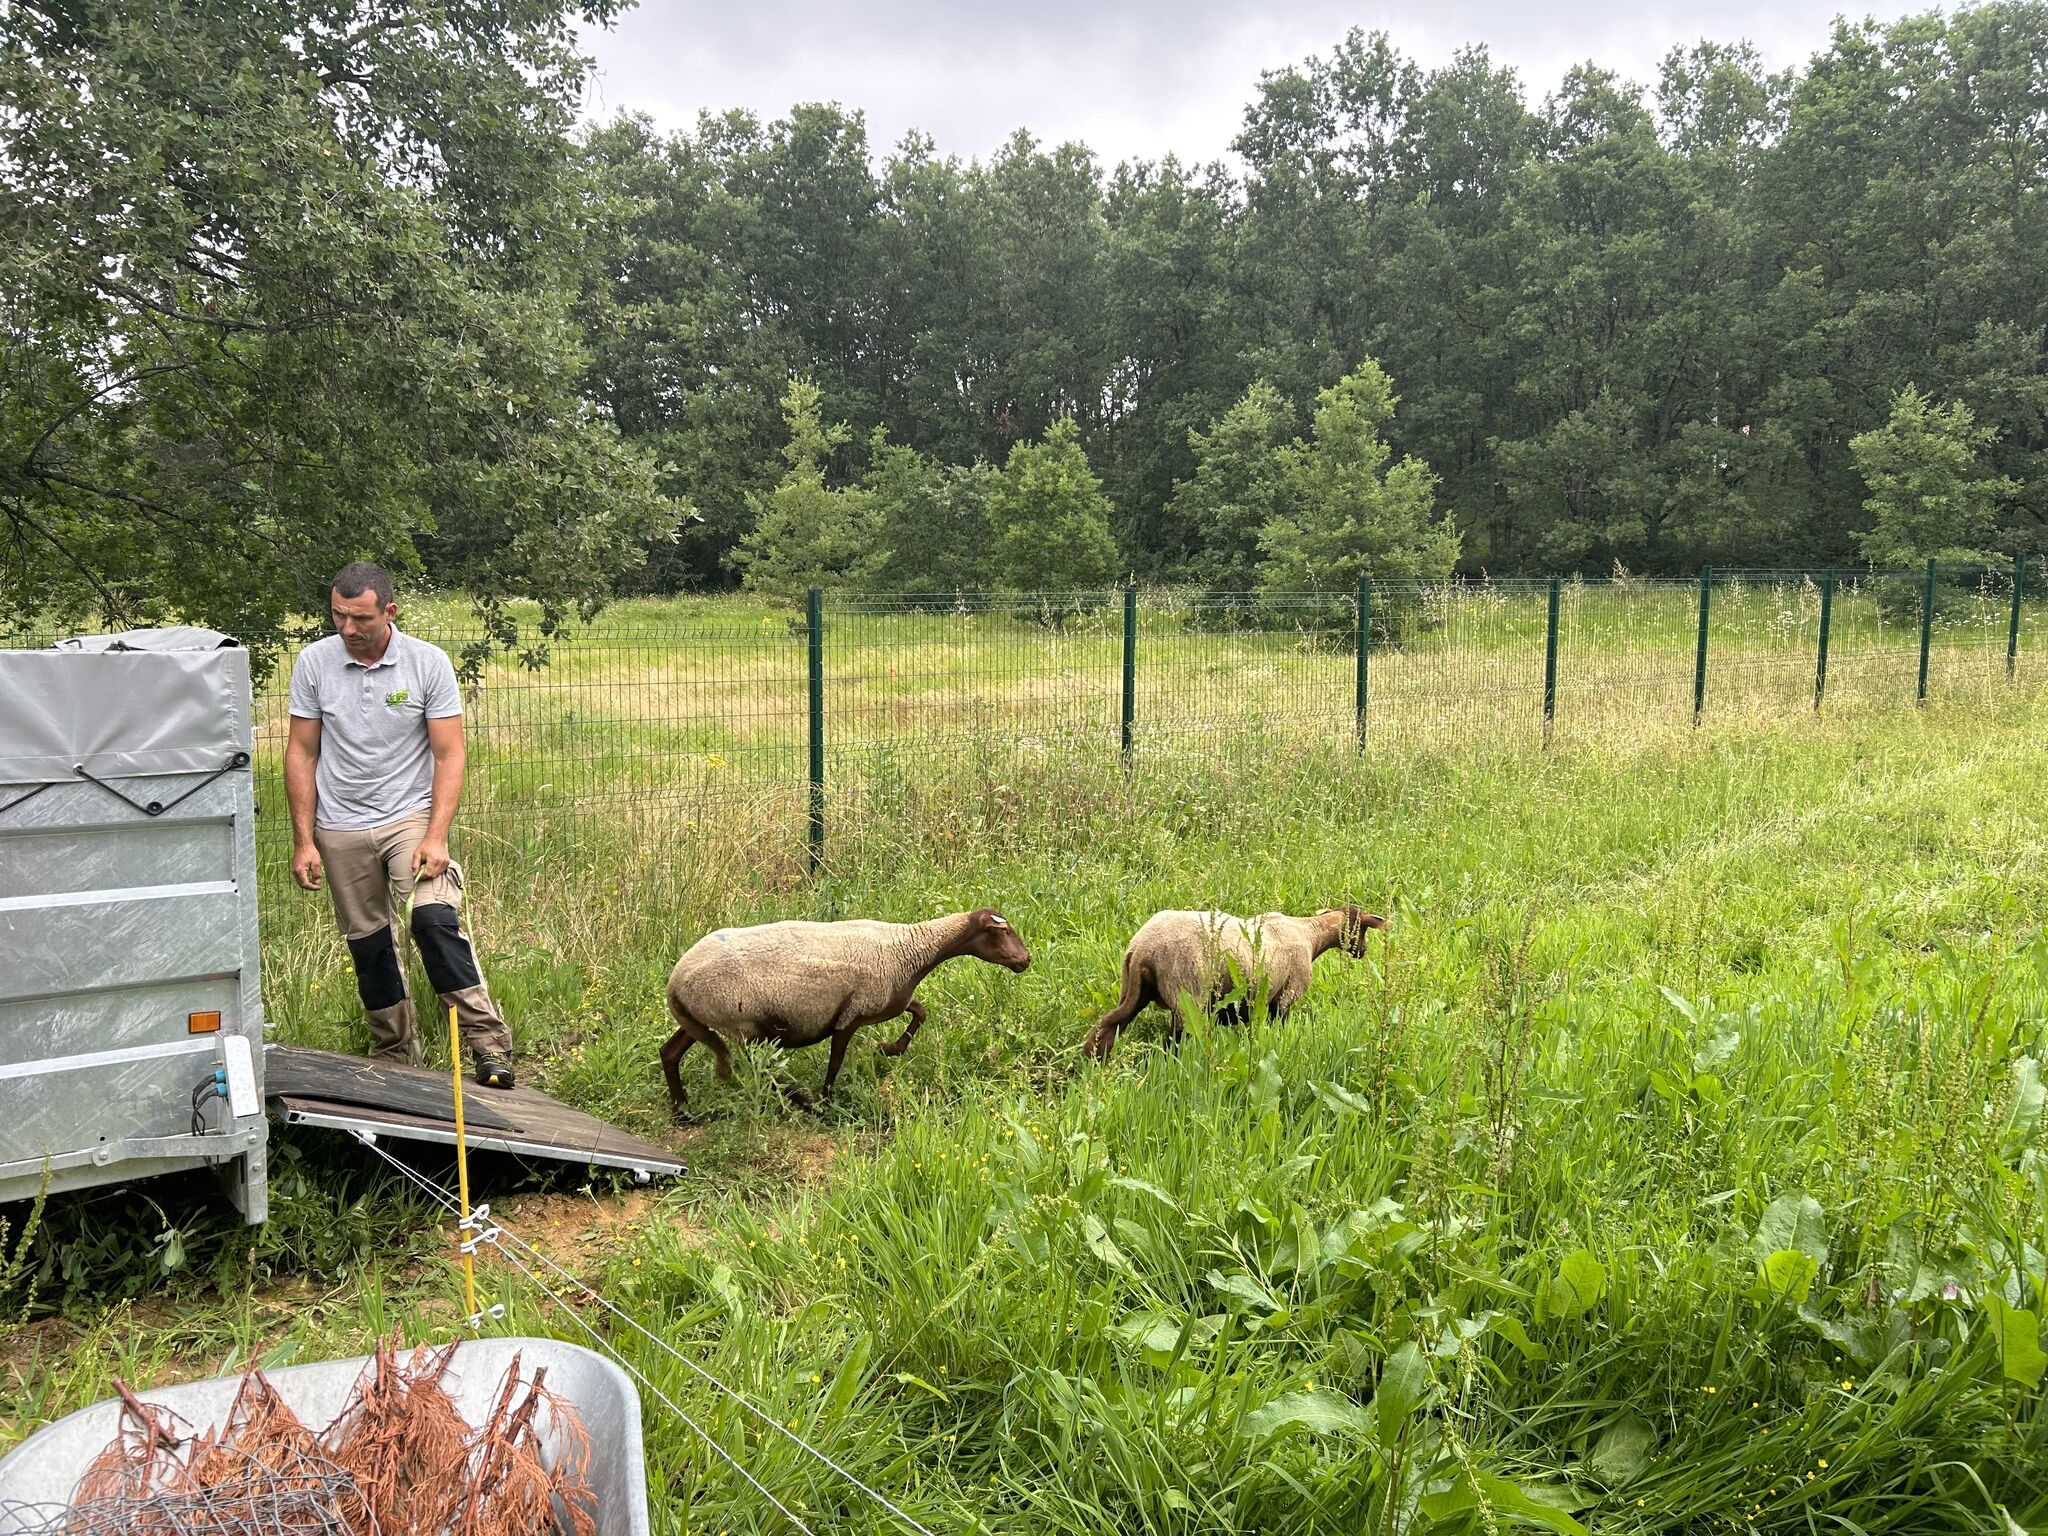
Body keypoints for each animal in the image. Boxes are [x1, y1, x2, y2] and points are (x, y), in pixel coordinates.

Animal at [663, 909, 1032, 1114]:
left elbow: (920, 1011)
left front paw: (891, 1048)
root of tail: (675, 981)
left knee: (669, 1053)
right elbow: (836, 1060)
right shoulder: (850, 1015)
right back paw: (806, 1101)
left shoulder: (888, 1001)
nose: (1026, 960)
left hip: (702, 1021)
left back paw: (682, 1111)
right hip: (744, 1025)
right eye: (1004, 932)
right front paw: (828, 1100)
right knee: (758, 1070)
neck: (910, 949)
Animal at [1081, 909, 1384, 1064]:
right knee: (1174, 1042)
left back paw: (1091, 1064)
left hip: (1133, 991)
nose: (1364, 952)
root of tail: (1141, 948)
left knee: (1107, 1027)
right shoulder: (1287, 995)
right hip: (1187, 994)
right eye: (1362, 929)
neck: (1311, 935)